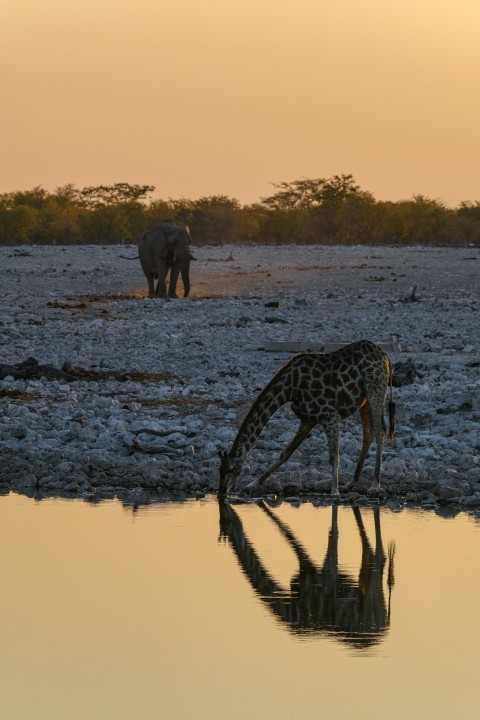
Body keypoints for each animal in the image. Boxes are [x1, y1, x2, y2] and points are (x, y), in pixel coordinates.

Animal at [219, 340, 396, 498]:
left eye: (231, 469)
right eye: (220, 469)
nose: (221, 491)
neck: (288, 390)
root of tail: (386, 357)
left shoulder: (330, 415)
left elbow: (334, 455)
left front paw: (334, 491)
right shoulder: (308, 419)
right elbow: (286, 452)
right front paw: (254, 483)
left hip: (375, 389)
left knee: (381, 430)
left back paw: (375, 485)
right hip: (364, 399)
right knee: (369, 431)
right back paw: (352, 482)